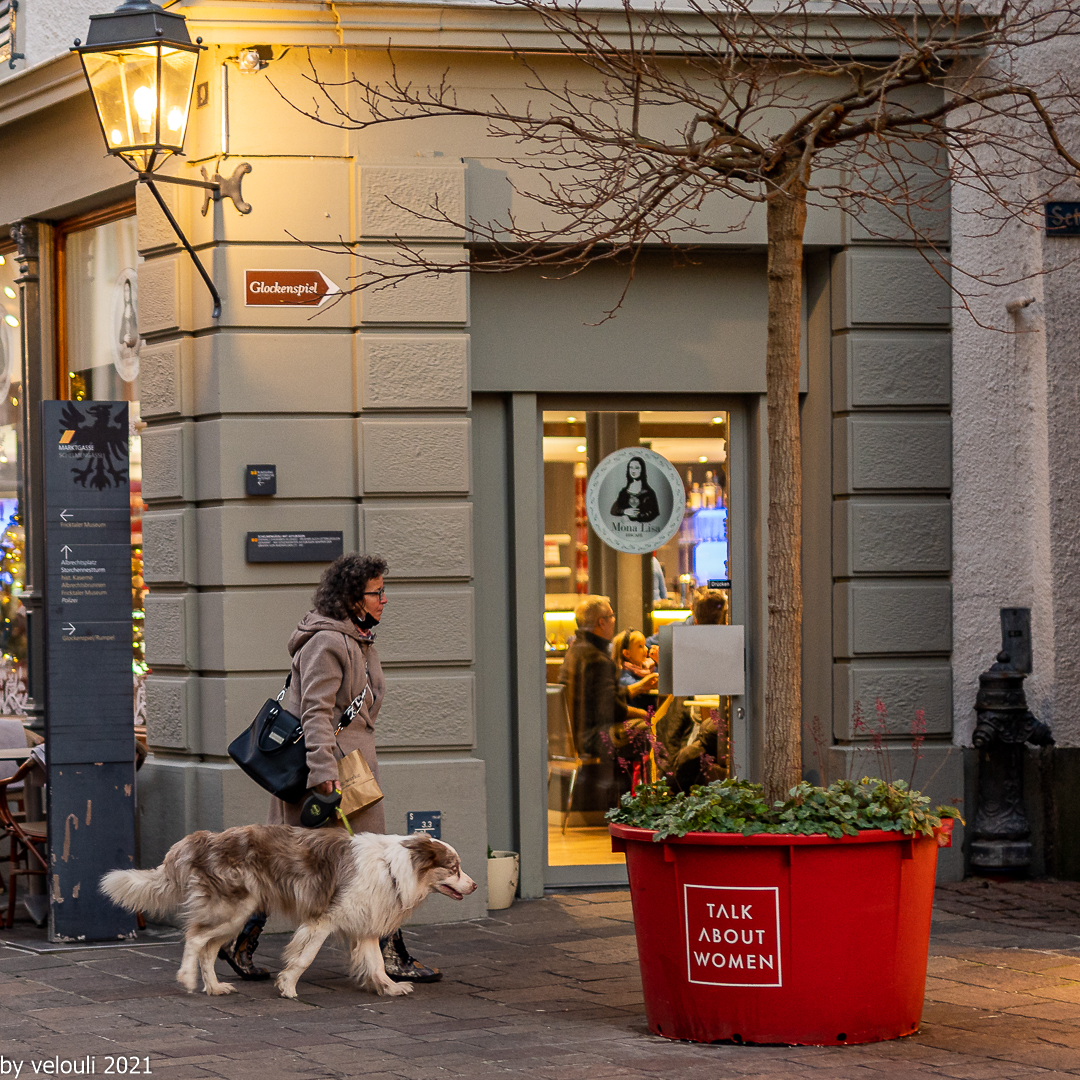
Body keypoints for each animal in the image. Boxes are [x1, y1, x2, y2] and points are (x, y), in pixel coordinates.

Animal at [100, 829, 473, 997]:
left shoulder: (364, 924)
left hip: (235, 915)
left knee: (207, 949)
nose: (474, 886)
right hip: (231, 911)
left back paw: (215, 987)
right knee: (194, 939)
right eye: (454, 867)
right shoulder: (323, 919)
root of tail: (199, 840)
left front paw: (390, 987)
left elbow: (377, 963)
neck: (394, 869)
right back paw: (187, 979)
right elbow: (304, 956)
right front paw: (288, 986)